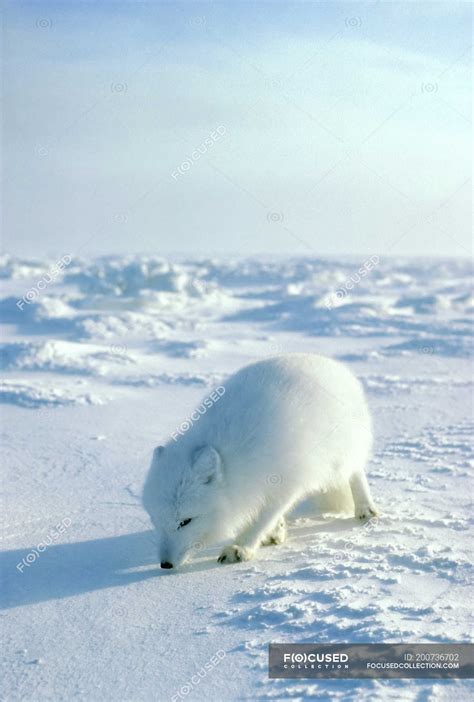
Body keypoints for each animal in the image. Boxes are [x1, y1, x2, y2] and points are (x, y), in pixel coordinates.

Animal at [143, 354, 380, 568]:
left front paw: (241, 548)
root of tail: (335, 366)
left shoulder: (283, 483)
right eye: (155, 519)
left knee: (356, 472)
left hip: (342, 456)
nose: (165, 564)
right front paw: (275, 532)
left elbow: (262, 518)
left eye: (185, 521)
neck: (235, 464)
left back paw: (365, 509)